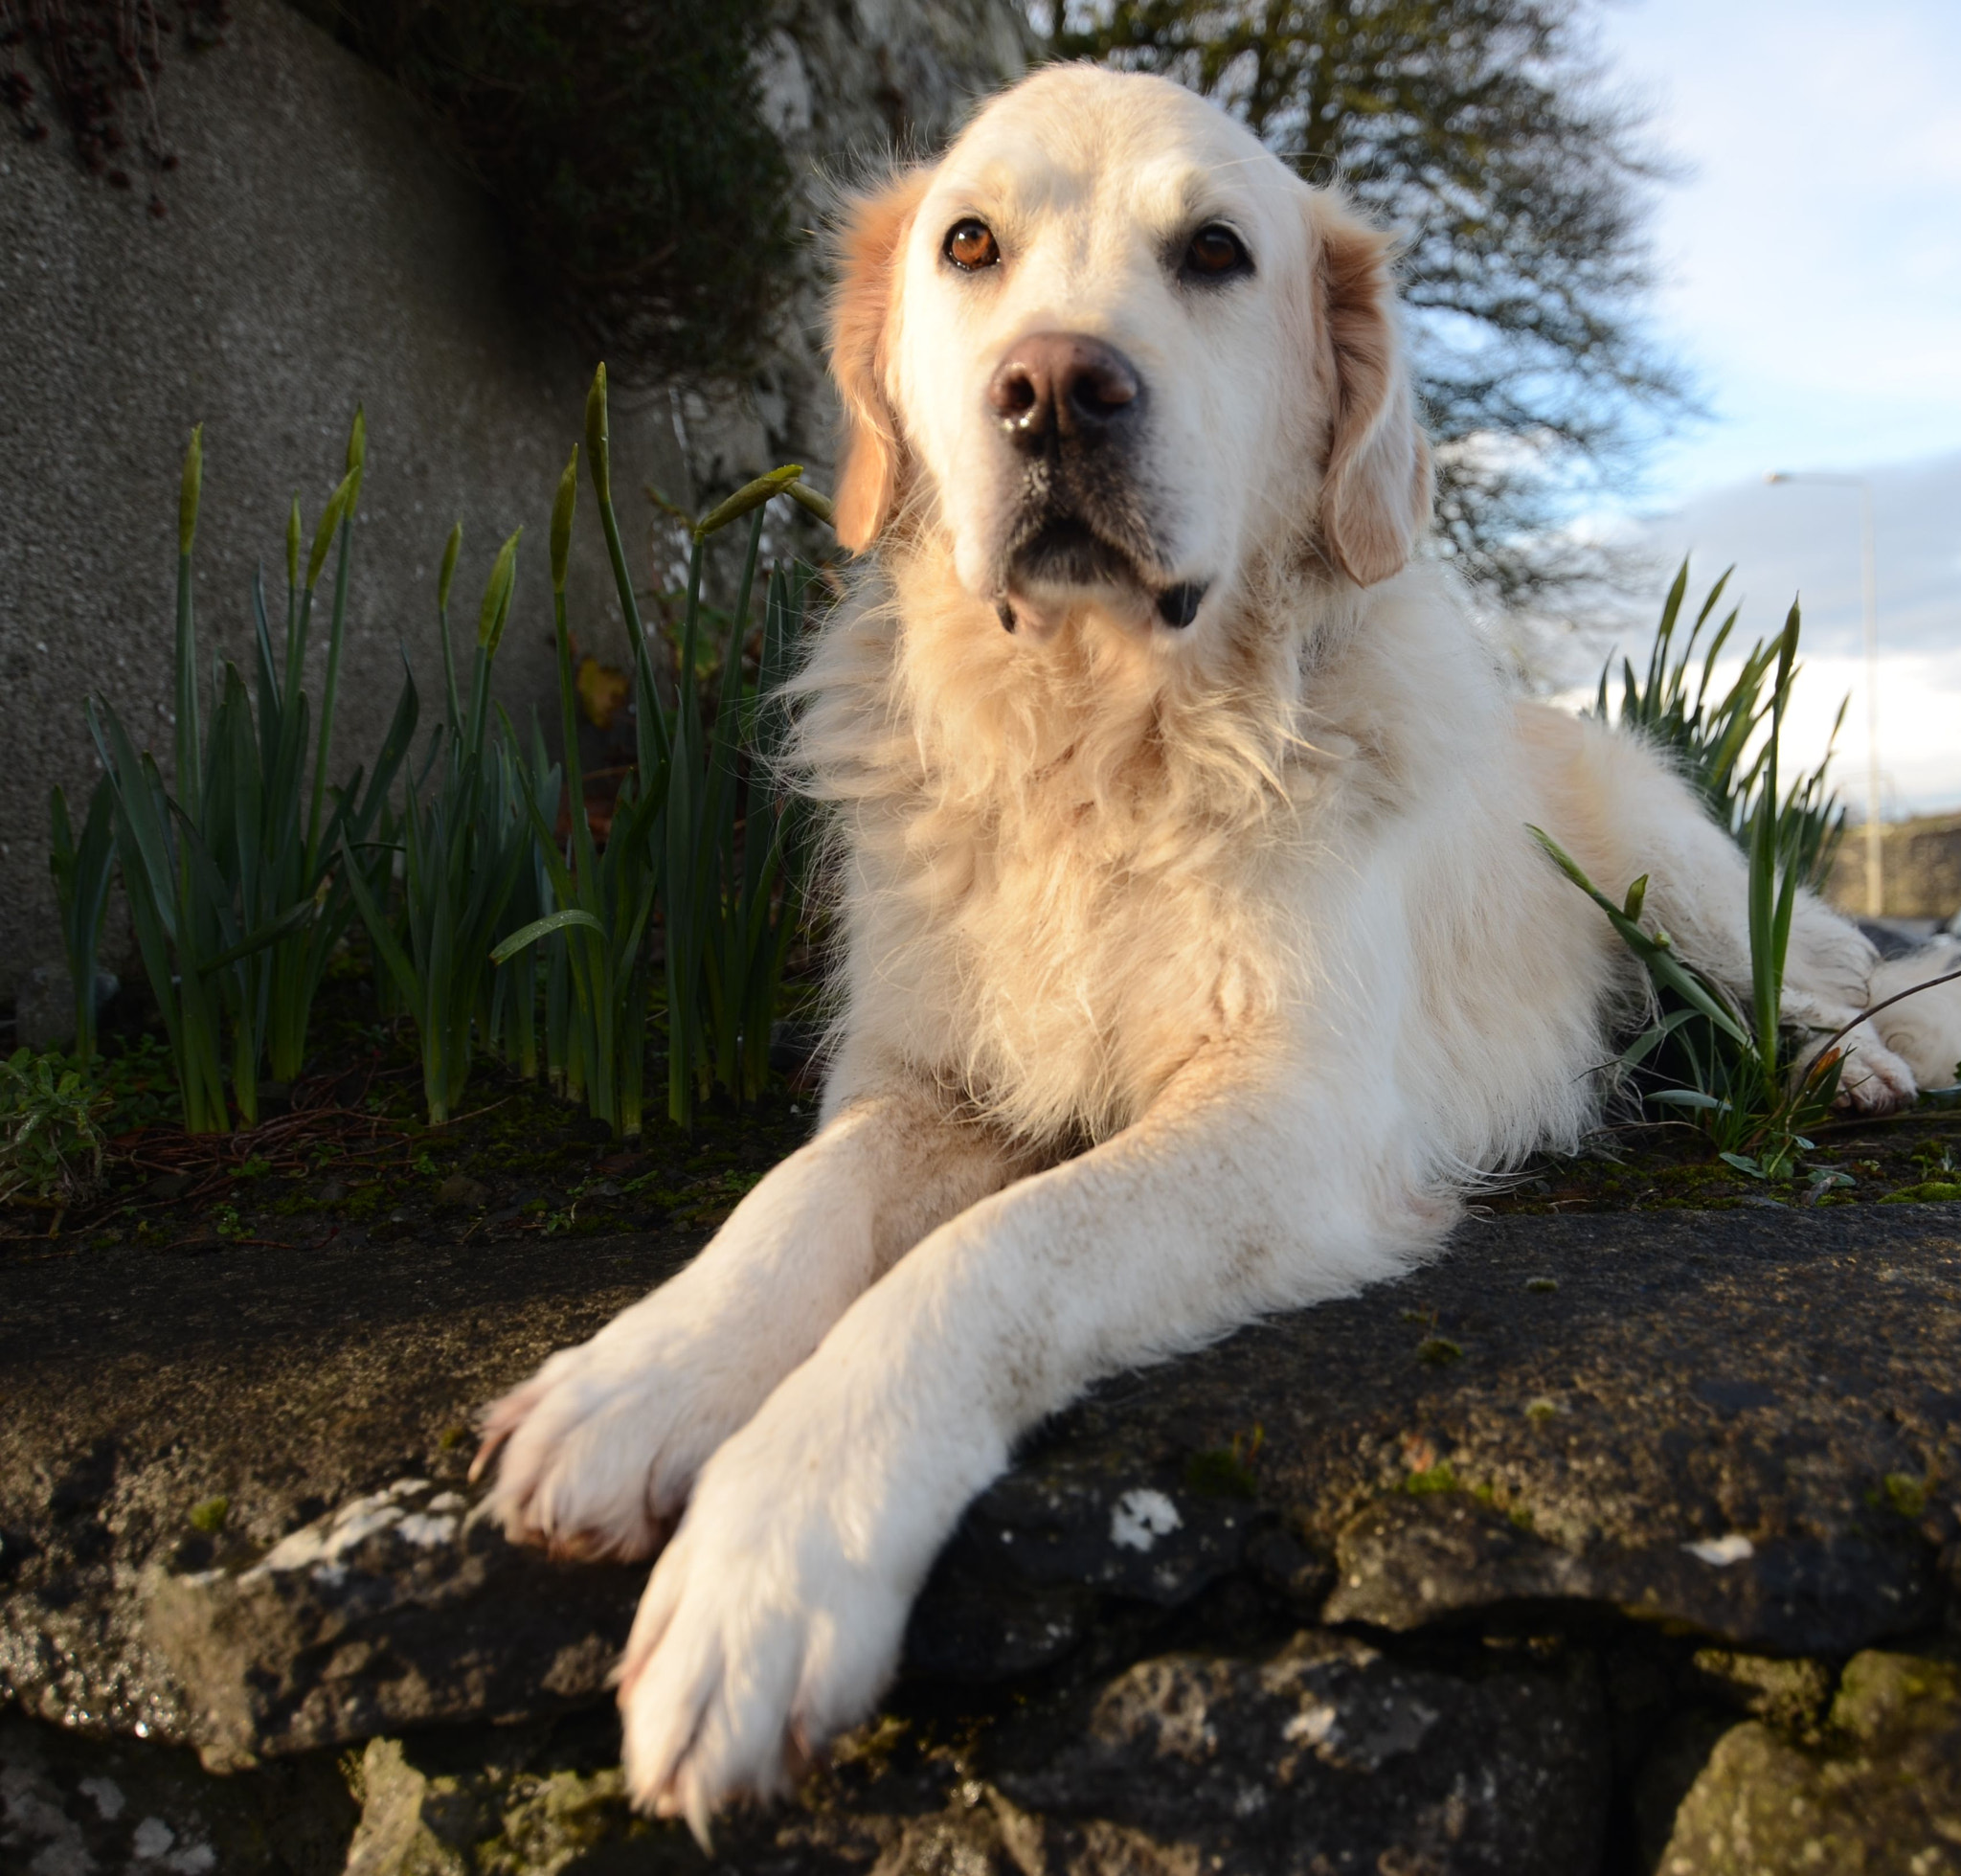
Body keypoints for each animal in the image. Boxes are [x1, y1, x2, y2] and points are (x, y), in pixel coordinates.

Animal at [474, 61, 1961, 1826]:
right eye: (969, 242)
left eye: (1213, 252)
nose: (1053, 391)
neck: (1094, 741)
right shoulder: (922, 1084)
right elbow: (793, 1208)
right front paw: (640, 1376)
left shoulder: (1292, 1118)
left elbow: (996, 1254)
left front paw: (773, 1558)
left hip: (1672, 880)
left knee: (1822, 980)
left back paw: (1854, 1064)